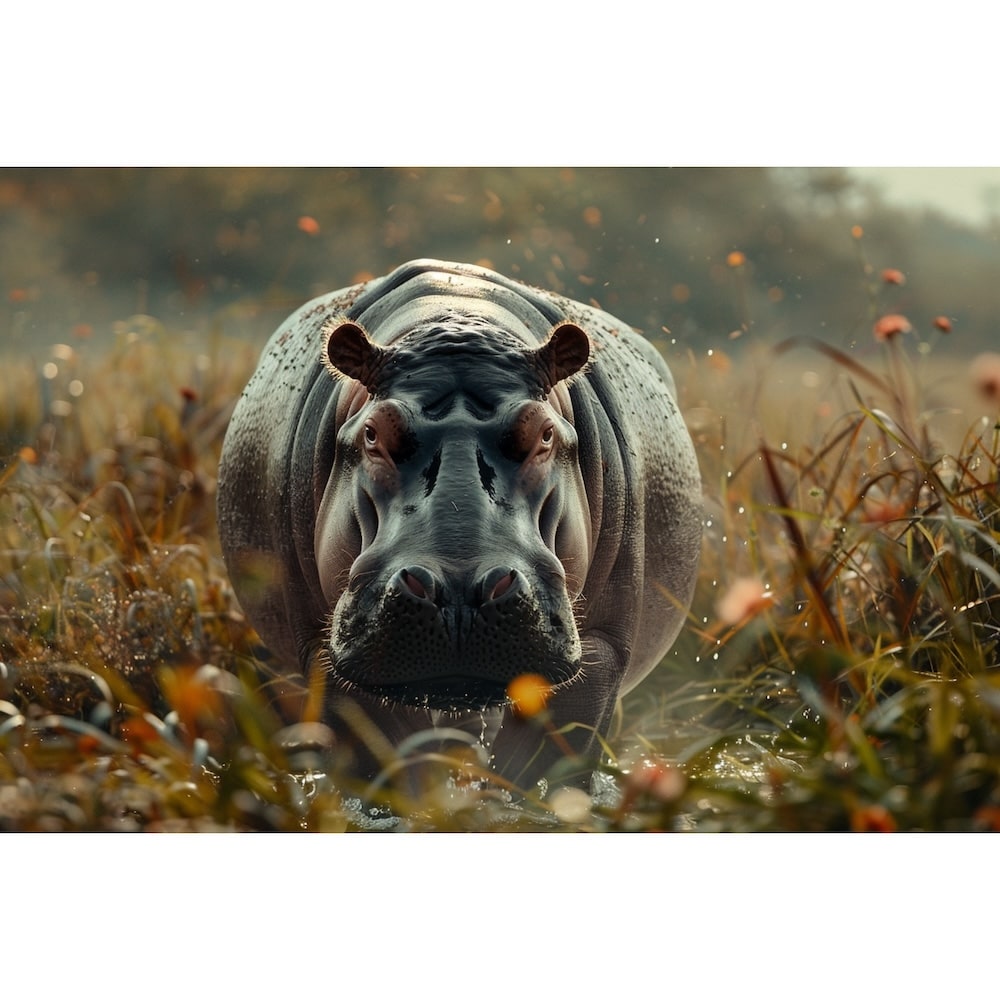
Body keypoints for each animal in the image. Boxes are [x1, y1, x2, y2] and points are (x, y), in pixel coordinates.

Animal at [217, 259, 702, 790]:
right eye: (372, 433)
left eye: (544, 433)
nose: (458, 589)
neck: (457, 319)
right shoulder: (321, 651)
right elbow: (390, 760)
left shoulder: (601, 645)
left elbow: (541, 766)